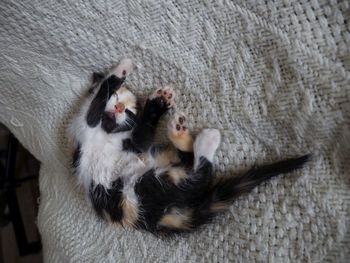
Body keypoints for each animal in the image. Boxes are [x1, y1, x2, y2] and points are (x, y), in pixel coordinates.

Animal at [69, 59, 310, 235]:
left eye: (129, 112)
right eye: (117, 98)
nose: (119, 108)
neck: (107, 130)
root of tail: (163, 218)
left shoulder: (132, 142)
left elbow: (138, 130)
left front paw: (155, 101)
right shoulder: (87, 128)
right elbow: (102, 94)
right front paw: (121, 72)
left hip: (150, 179)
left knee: (193, 170)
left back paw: (187, 133)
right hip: (145, 188)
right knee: (197, 176)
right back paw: (200, 137)